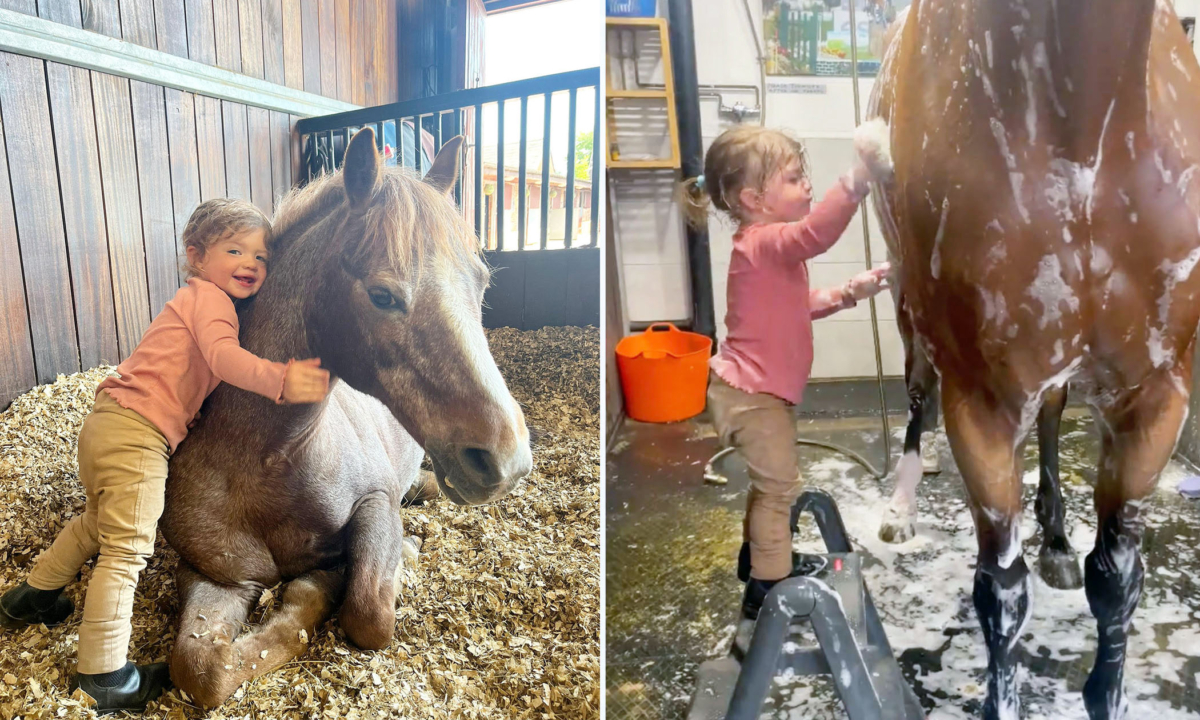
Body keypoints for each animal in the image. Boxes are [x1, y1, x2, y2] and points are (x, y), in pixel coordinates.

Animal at [159, 128, 532, 707]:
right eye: (381, 295)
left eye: (482, 282)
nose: (506, 459)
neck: (267, 461)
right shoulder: (213, 573)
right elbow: (203, 668)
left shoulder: (376, 503)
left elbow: (368, 612)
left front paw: (332, 581)